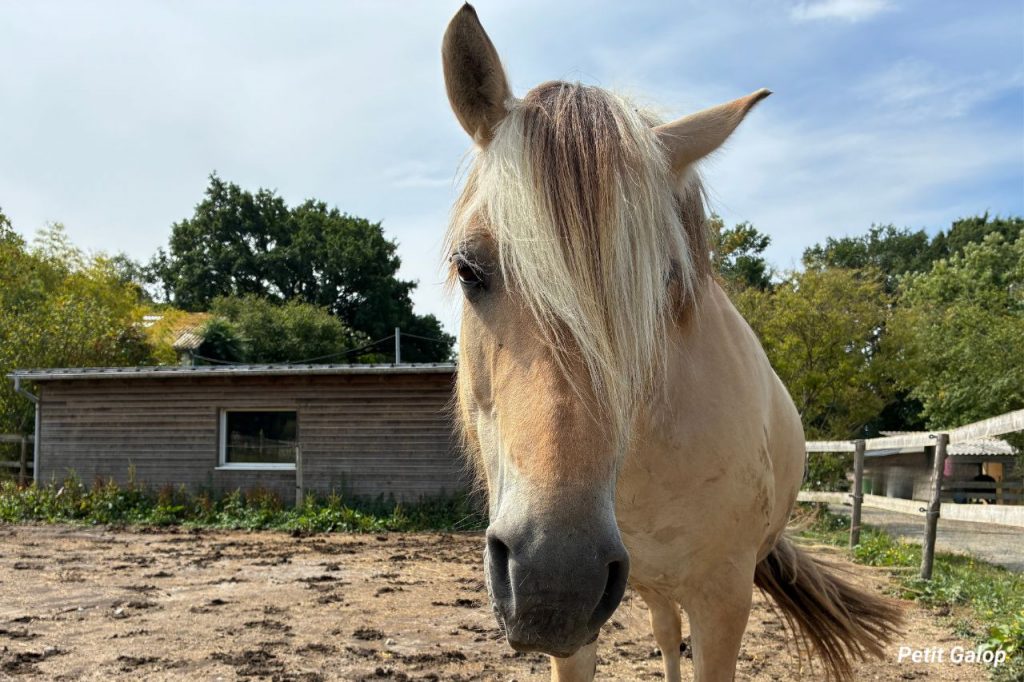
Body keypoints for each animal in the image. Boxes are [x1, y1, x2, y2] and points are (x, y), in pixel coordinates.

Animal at [440, 5, 901, 681]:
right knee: (663, 631)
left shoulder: (724, 600)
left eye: (664, 283)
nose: (556, 580)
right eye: (468, 268)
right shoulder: (579, 633)